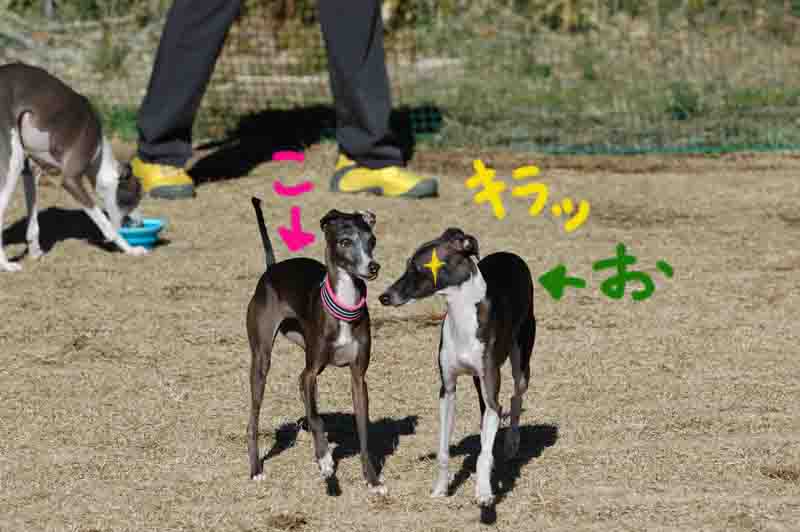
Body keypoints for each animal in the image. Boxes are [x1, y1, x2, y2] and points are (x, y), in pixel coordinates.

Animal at [0, 62, 145, 272]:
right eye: (135, 198)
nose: (141, 223)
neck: (99, 152)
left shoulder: (31, 171)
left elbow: (33, 223)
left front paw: (36, 253)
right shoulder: (70, 180)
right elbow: (106, 224)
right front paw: (130, 249)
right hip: (14, 161)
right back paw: (6, 265)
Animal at [246, 197, 385, 493]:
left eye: (372, 240)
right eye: (345, 241)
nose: (373, 267)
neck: (344, 306)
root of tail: (272, 268)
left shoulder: (358, 378)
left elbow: (363, 432)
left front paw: (372, 479)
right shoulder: (312, 373)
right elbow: (316, 417)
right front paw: (325, 460)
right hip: (261, 361)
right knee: (254, 419)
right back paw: (256, 469)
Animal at [379, 228, 536, 506]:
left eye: (416, 267)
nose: (384, 297)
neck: (462, 314)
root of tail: (511, 255)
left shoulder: (492, 387)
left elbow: (484, 453)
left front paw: (484, 492)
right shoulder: (447, 390)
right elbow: (444, 449)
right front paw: (441, 488)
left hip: (520, 360)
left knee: (515, 396)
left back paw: (511, 444)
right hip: (478, 381)